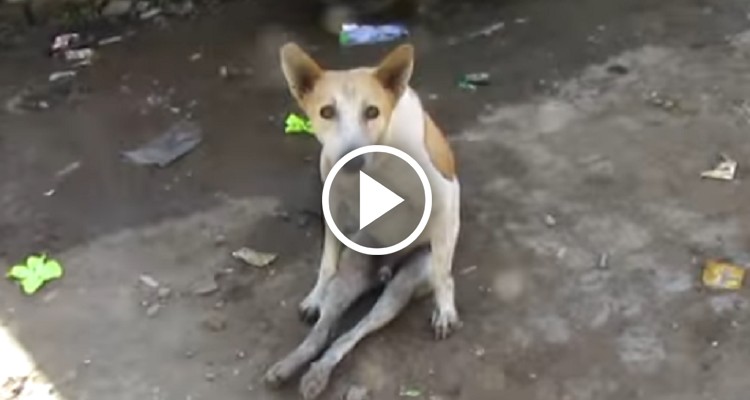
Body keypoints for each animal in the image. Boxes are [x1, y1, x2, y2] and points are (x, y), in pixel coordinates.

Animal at [264, 42, 464, 398]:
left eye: (372, 112)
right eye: (326, 112)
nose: (352, 160)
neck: (381, 157)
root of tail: (385, 270)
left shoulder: (446, 198)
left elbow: (444, 274)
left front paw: (445, 309)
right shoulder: (332, 204)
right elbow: (326, 261)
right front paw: (315, 294)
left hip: (401, 288)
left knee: (352, 332)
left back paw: (317, 374)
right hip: (352, 270)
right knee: (325, 330)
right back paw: (293, 365)